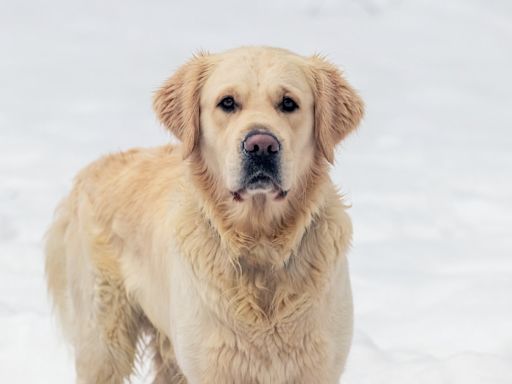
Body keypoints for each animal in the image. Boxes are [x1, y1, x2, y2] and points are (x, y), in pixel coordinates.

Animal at [44, 46, 364, 382]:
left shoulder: (319, 365)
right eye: (227, 103)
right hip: (103, 341)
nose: (261, 145)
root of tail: (89, 169)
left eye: (289, 103)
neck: (260, 244)